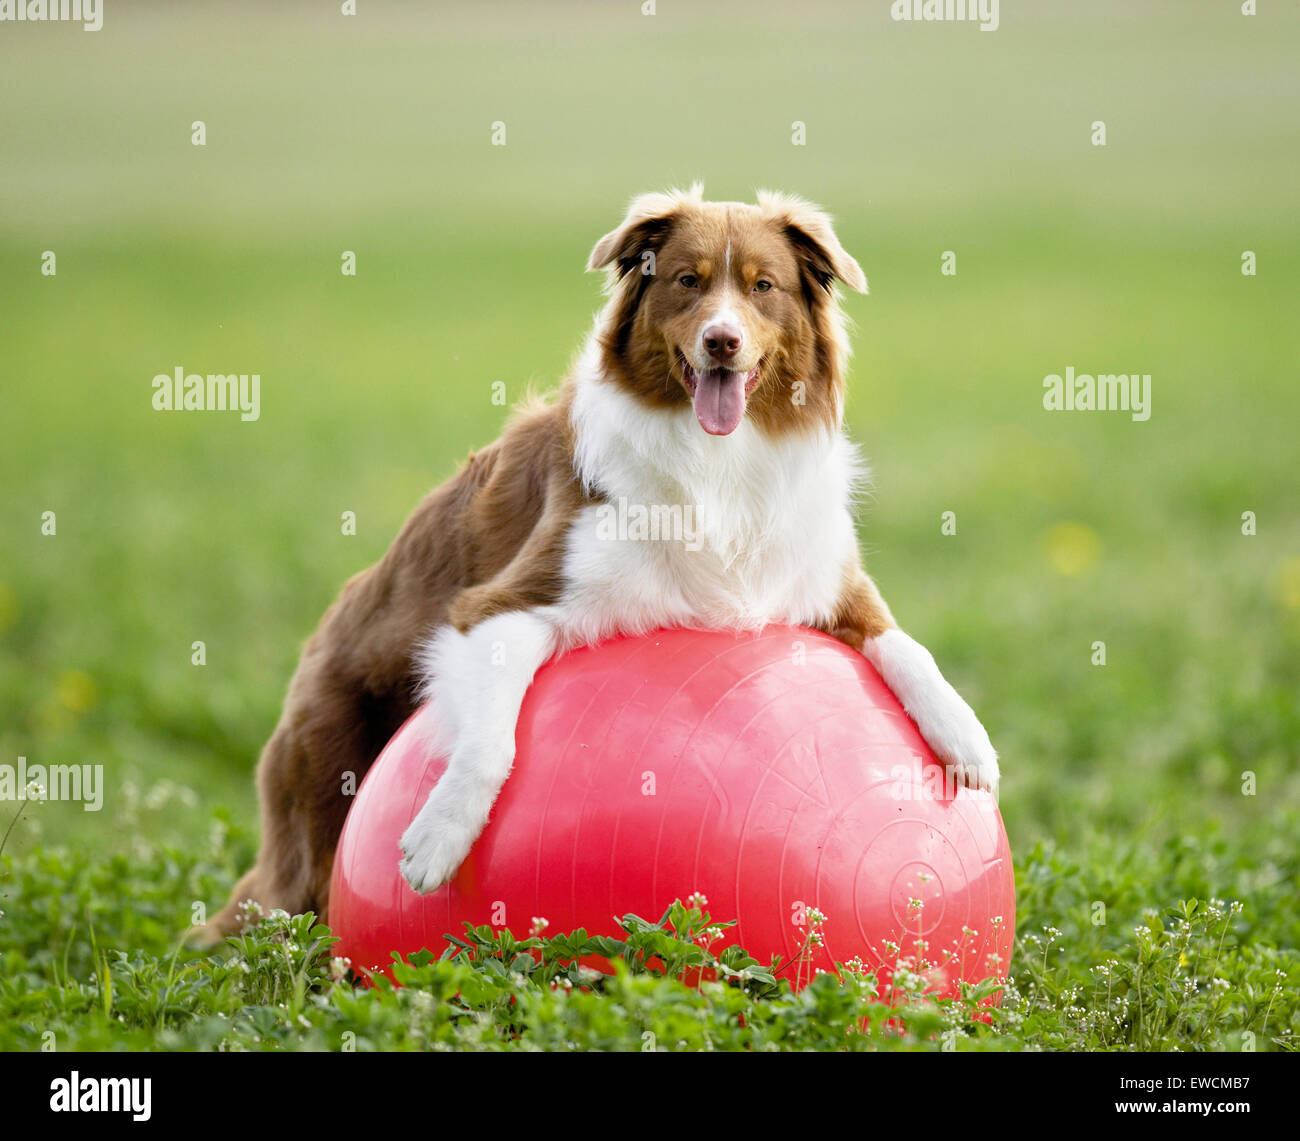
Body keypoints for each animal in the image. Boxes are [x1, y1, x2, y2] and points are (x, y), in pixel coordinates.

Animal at [197, 187, 998, 951]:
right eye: (686, 281)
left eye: (763, 286)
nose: (723, 340)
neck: (718, 465)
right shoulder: (501, 605)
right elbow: (490, 742)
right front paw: (439, 837)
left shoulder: (825, 582)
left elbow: (905, 644)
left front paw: (967, 739)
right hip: (314, 795)